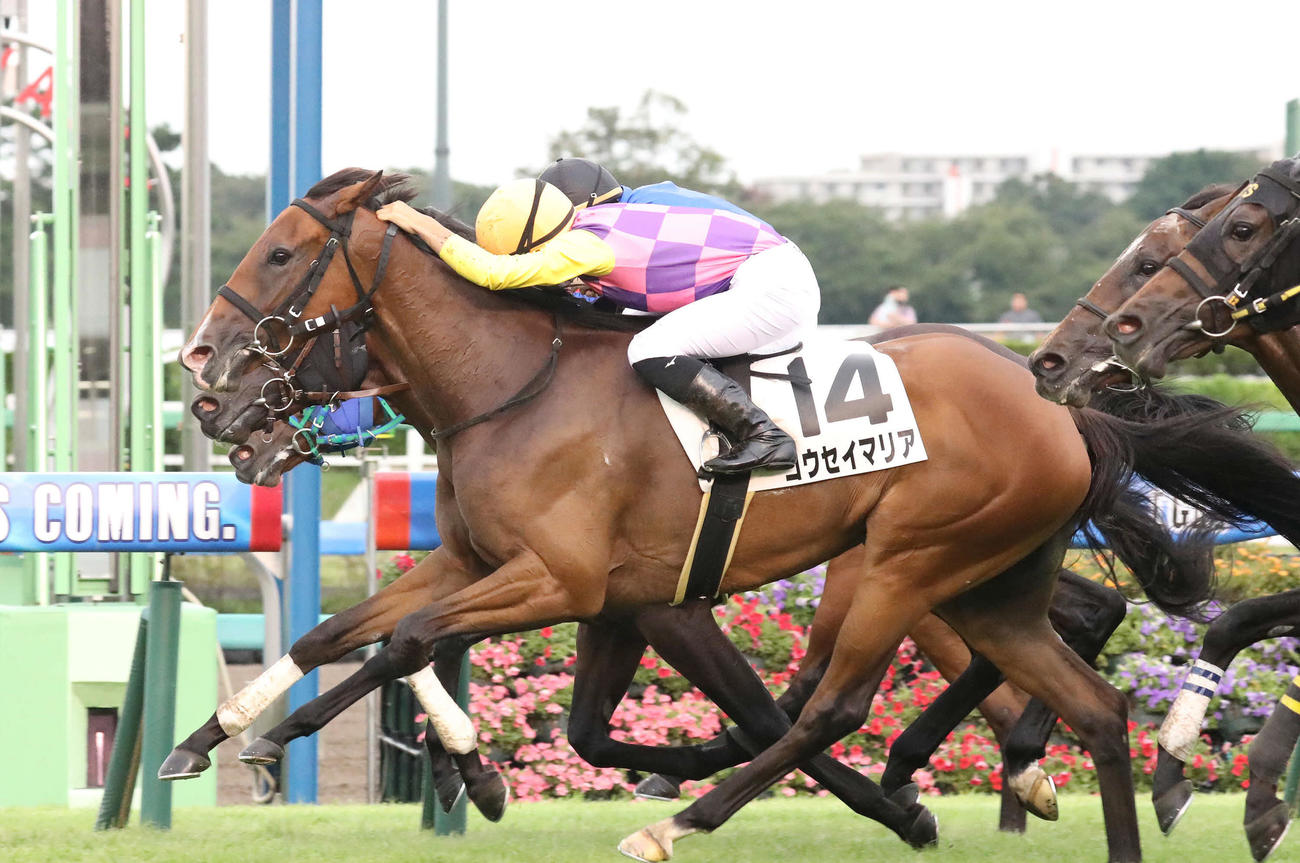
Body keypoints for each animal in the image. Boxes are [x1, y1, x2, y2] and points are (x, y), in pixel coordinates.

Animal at [174, 168, 1297, 862]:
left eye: (281, 255)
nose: (204, 375)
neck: (514, 385)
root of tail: (1055, 403)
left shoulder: (561, 581)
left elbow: (407, 640)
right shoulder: (510, 572)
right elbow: (341, 633)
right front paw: (218, 734)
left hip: (907, 561)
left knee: (833, 705)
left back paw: (695, 817)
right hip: (987, 583)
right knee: (1094, 700)